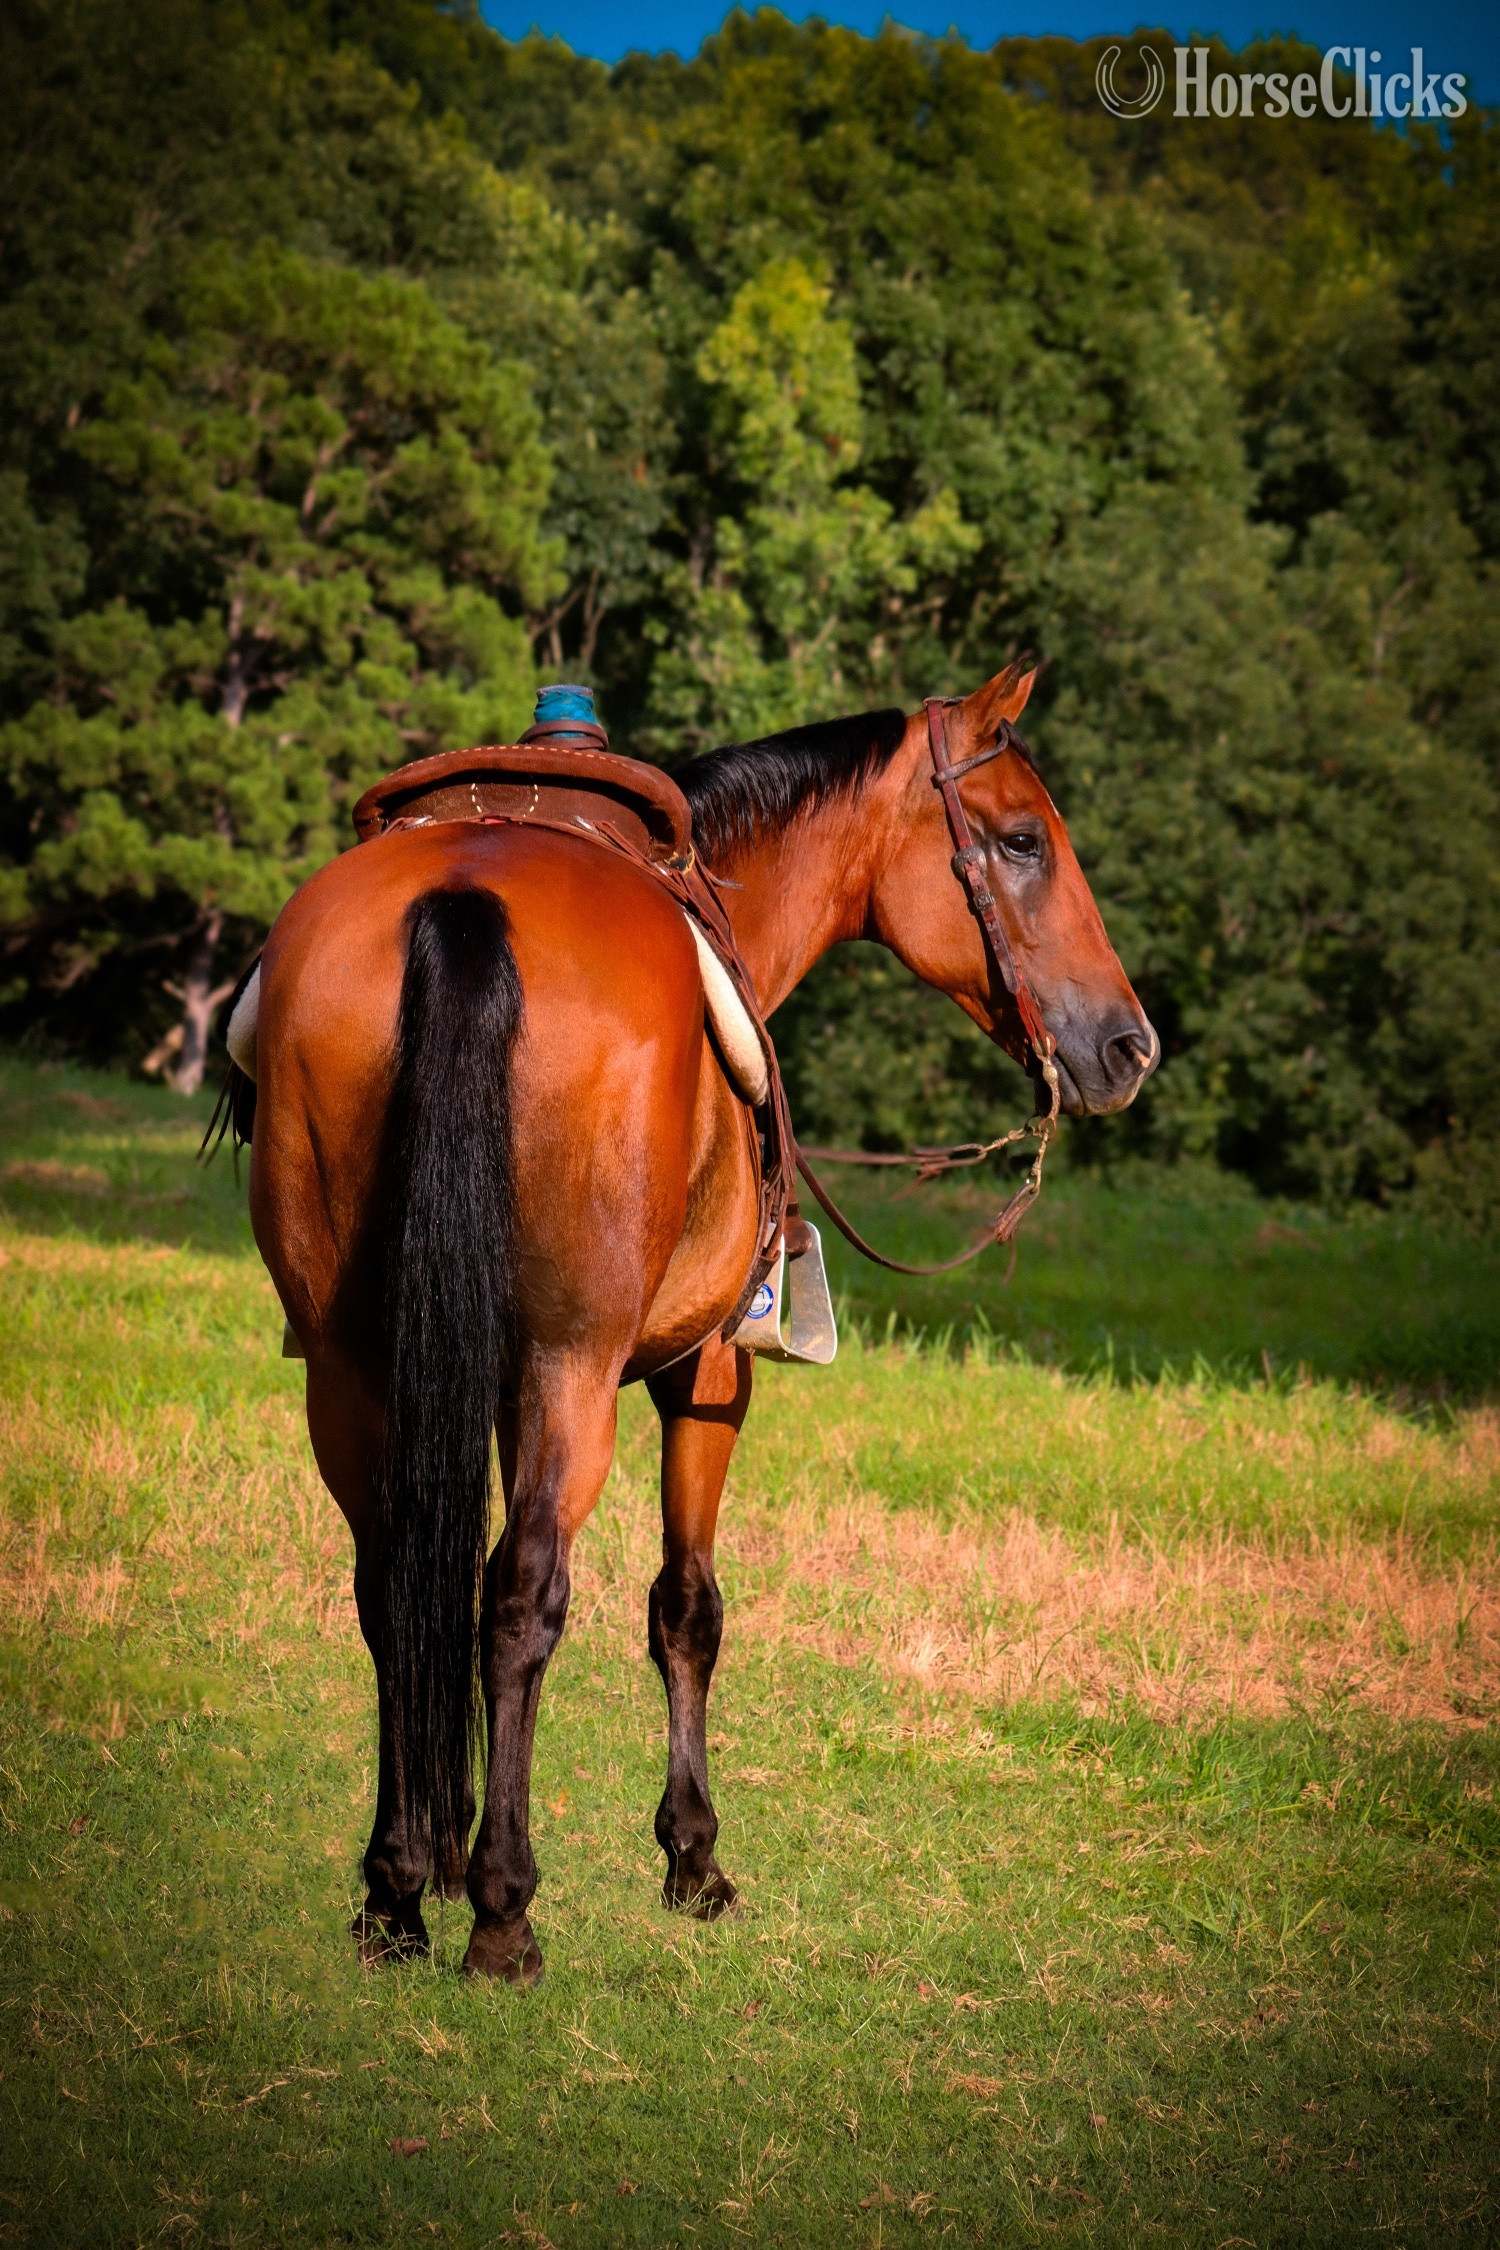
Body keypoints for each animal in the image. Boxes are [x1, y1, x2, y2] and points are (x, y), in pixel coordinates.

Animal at [243, 660, 1157, 1983]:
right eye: (1024, 839)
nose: (1129, 1046)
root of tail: (466, 900)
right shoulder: (708, 1373)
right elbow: (685, 1608)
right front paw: (692, 1858)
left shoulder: (492, 1379)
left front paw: (445, 1849)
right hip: (573, 1367)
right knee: (525, 1596)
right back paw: (505, 1915)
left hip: (355, 1367)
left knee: (394, 1584)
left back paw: (399, 1891)